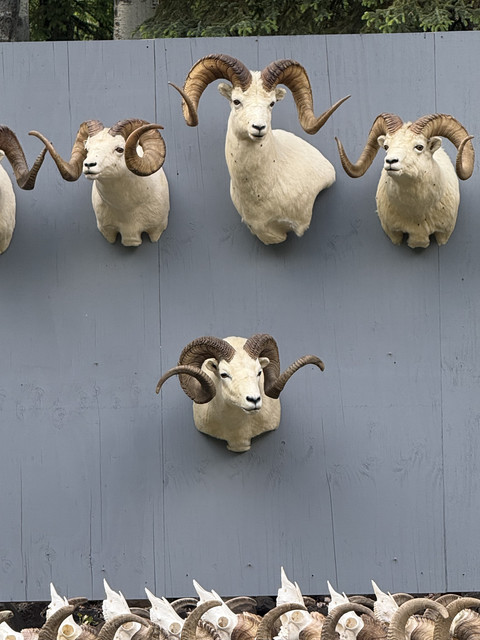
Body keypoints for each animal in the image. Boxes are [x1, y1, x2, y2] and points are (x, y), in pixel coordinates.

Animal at [30, 119, 169, 247]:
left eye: (120, 149)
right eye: (87, 149)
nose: (88, 165)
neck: (127, 210)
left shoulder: (156, 229)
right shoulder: (107, 231)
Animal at [335, 113, 475, 249]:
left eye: (419, 147)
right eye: (386, 146)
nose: (390, 161)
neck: (417, 215)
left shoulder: (444, 234)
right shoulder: (393, 234)